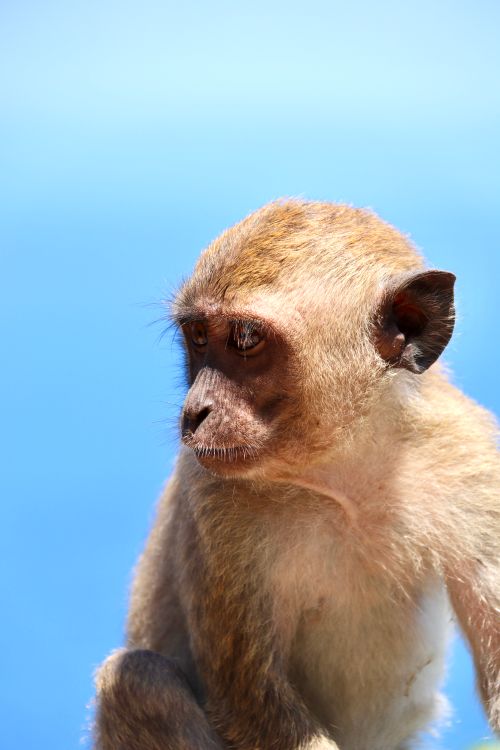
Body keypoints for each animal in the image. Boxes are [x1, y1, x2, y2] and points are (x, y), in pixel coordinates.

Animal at [94, 200, 500, 750]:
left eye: (244, 339)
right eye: (198, 336)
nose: (194, 411)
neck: (343, 471)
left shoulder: (471, 463)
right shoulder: (215, 505)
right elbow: (250, 700)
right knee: (137, 681)